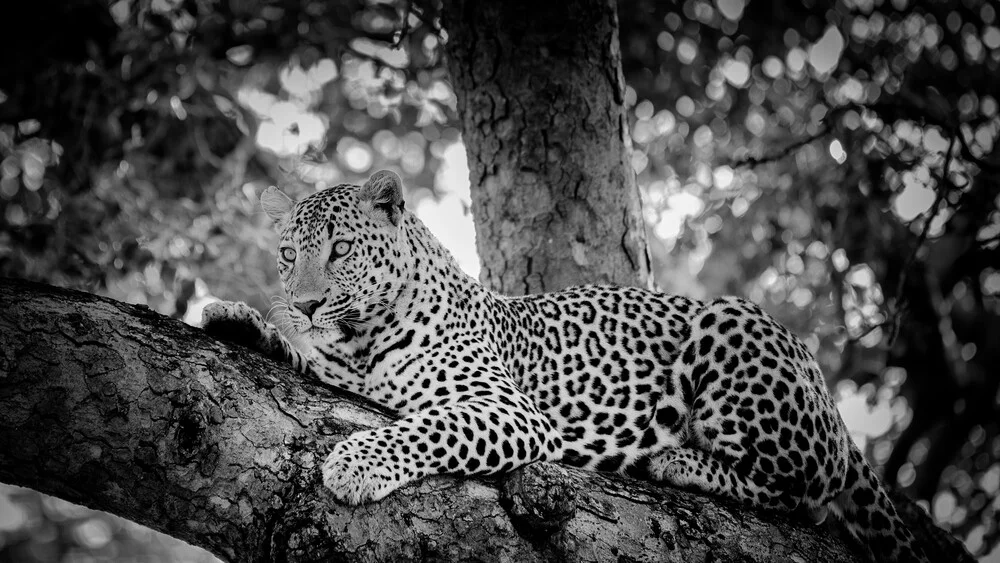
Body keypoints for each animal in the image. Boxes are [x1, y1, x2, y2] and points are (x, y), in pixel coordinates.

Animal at [203, 170, 928, 560]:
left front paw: (356, 463)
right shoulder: (343, 370)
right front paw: (239, 319)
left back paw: (677, 459)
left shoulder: (508, 409)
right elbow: (306, 358)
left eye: (342, 248)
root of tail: (825, 392)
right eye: (289, 254)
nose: (305, 303)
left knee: (811, 492)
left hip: (734, 326)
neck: (362, 337)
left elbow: (427, 427)